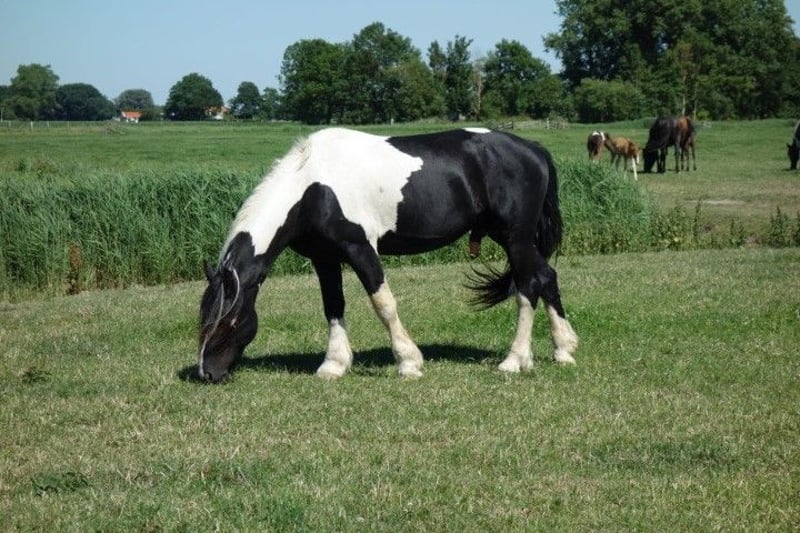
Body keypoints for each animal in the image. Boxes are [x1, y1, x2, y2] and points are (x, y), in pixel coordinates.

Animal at [197, 128, 579, 383]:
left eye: (229, 321)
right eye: (203, 319)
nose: (207, 373)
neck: (312, 187)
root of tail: (533, 149)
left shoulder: (361, 249)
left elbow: (383, 303)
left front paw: (409, 362)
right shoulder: (325, 258)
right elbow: (333, 307)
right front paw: (333, 365)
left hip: (516, 239)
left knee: (527, 286)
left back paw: (514, 360)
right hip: (514, 240)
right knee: (546, 277)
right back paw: (563, 350)